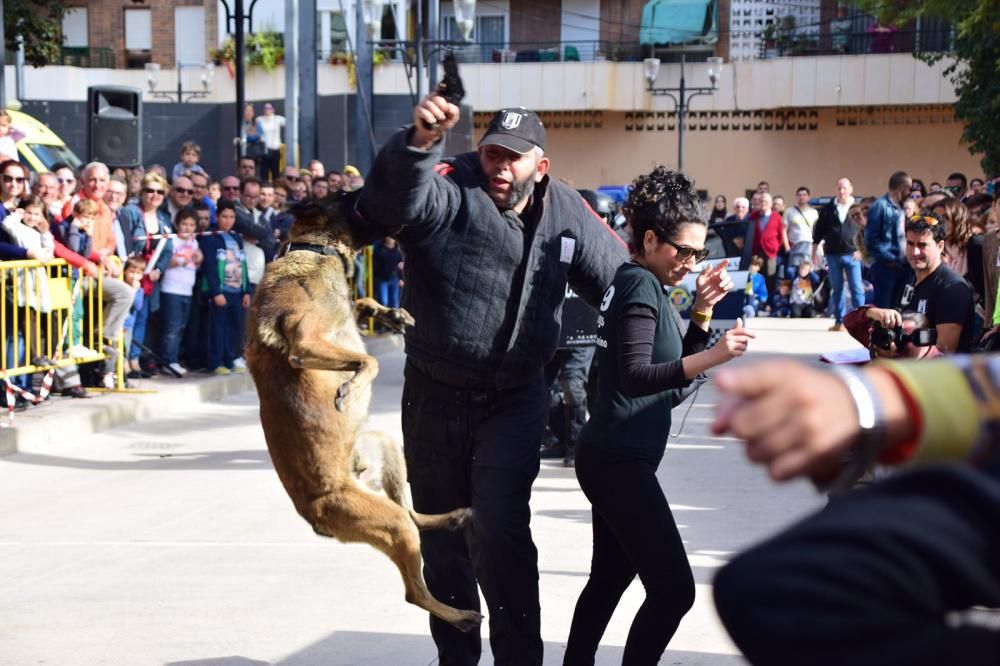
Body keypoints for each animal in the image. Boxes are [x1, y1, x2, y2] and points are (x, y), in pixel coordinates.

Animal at [248, 196, 486, 628]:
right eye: (346, 197)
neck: (311, 249)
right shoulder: (305, 343)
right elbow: (367, 361)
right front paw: (349, 388)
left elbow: (360, 305)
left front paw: (387, 312)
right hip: (388, 523)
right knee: (412, 590)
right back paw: (458, 615)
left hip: (388, 448)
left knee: (411, 512)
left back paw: (452, 519)